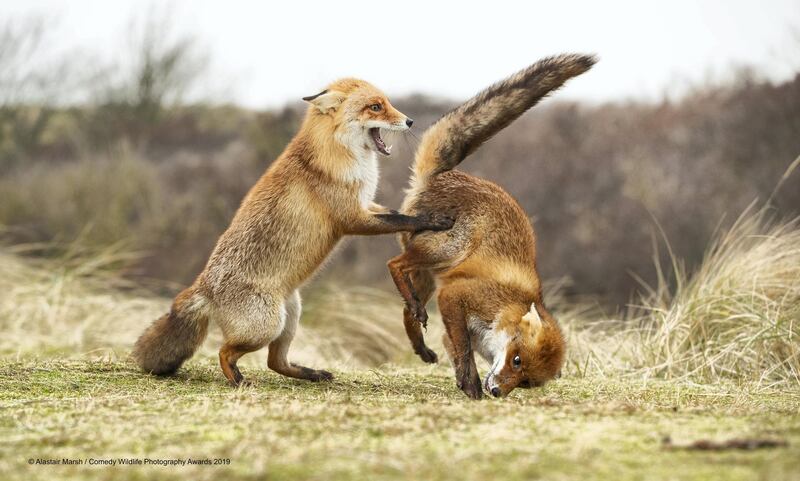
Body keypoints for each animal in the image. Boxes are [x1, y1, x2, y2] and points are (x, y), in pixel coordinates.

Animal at [134, 79, 454, 386]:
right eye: (375, 107)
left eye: (386, 102)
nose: (410, 121)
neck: (340, 155)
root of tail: (203, 286)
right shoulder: (352, 218)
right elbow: (402, 219)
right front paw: (432, 220)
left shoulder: (366, 205)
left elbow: (395, 213)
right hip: (265, 326)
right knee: (224, 352)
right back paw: (238, 381)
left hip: (291, 316)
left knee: (275, 362)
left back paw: (312, 374)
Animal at [390, 53, 596, 398]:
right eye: (516, 360)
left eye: (525, 382)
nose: (498, 391)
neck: (507, 306)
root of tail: (442, 176)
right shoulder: (456, 297)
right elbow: (463, 349)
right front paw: (472, 385)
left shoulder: (452, 318)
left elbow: (454, 349)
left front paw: (465, 383)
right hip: (446, 250)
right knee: (394, 265)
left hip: (428, 277)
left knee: (407, 308)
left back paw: (420, 344)